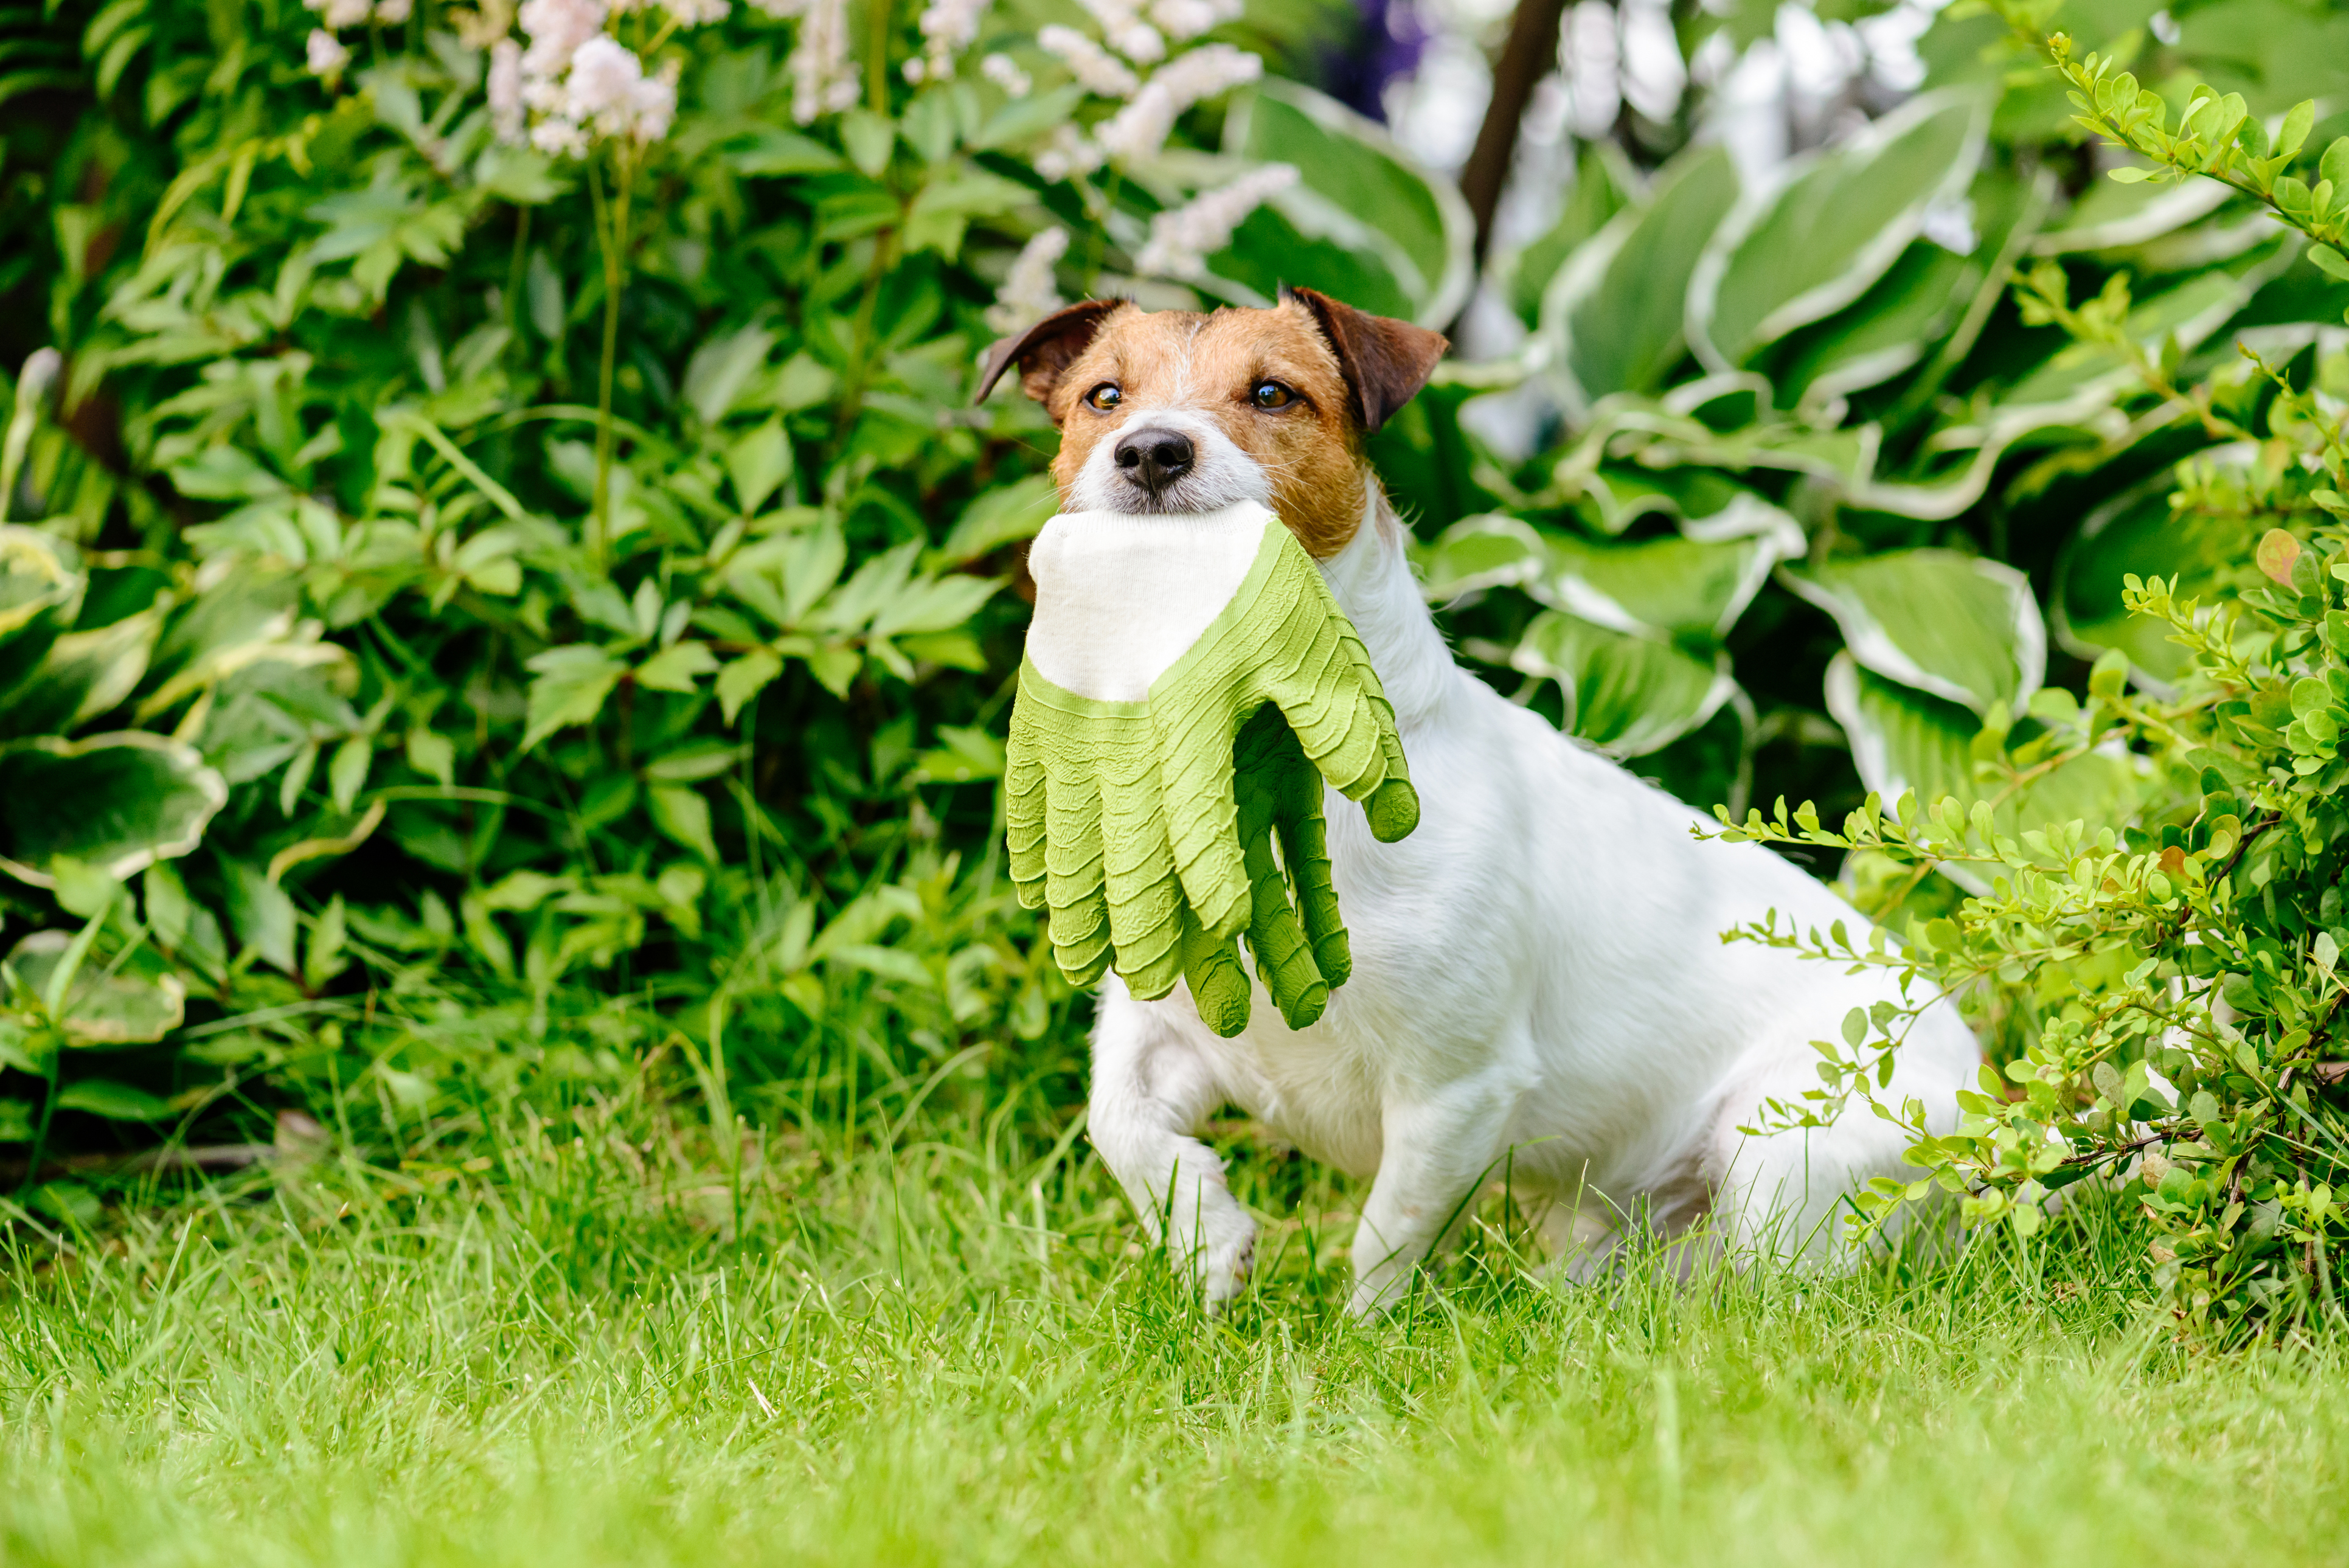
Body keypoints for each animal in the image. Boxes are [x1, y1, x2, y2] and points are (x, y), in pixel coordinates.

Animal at [972, 285, 1982, 1314]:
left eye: (1271, 392)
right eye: (1104, 397)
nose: (1149, 450)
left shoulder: (1454, 1086)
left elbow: (1388, 1234)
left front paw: (1359, 1335)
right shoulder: (1158, 1025)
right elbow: (1120, 1123)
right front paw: (1208, 1245)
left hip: (1784, 1151)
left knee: (1764, 1286)